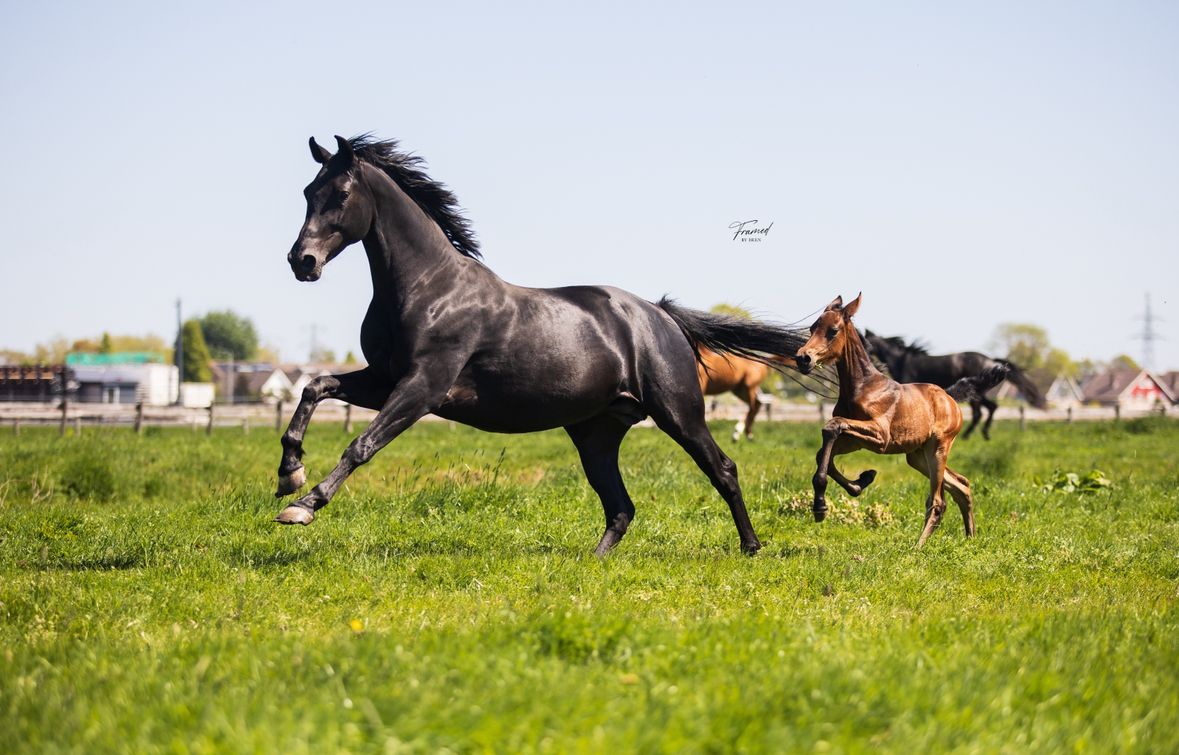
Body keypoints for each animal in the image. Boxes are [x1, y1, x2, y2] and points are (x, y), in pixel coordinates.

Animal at [274, 134, 809, 556]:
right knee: (621, 506)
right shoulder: (385, 379)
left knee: (722, 469)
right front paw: (289, 474)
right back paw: (593, 563)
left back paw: (751, 547)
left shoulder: (423, 387)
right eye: (307, 192)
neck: (430, 288)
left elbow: (361, 444)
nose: (302, 261)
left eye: (341, 193)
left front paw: (303, 506)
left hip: (678, 412)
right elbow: (314, 387)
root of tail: (659, 314)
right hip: (596, 433)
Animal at [795, 294, 1008, 547]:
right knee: (961, 485)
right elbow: (824, 453)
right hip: (918, 456)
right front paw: (861, 481)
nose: (803, 358)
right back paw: (970, 538)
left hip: (939, 449)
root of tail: (949, 396)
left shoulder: (880, 437)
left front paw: (821, 505)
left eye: (833, 331)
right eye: (812, 327)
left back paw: (918, 546)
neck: (863, 387)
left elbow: (832, 426)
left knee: (938, 501)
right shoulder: (856, 441)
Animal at [863, 331, 1046, 440]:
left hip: (977, 395)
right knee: (989, 409)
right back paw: (981, 434)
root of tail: (990, 359)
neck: (901, 360)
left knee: (983, 411)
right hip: (977, 393)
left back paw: (972, 435)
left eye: (867, 342)